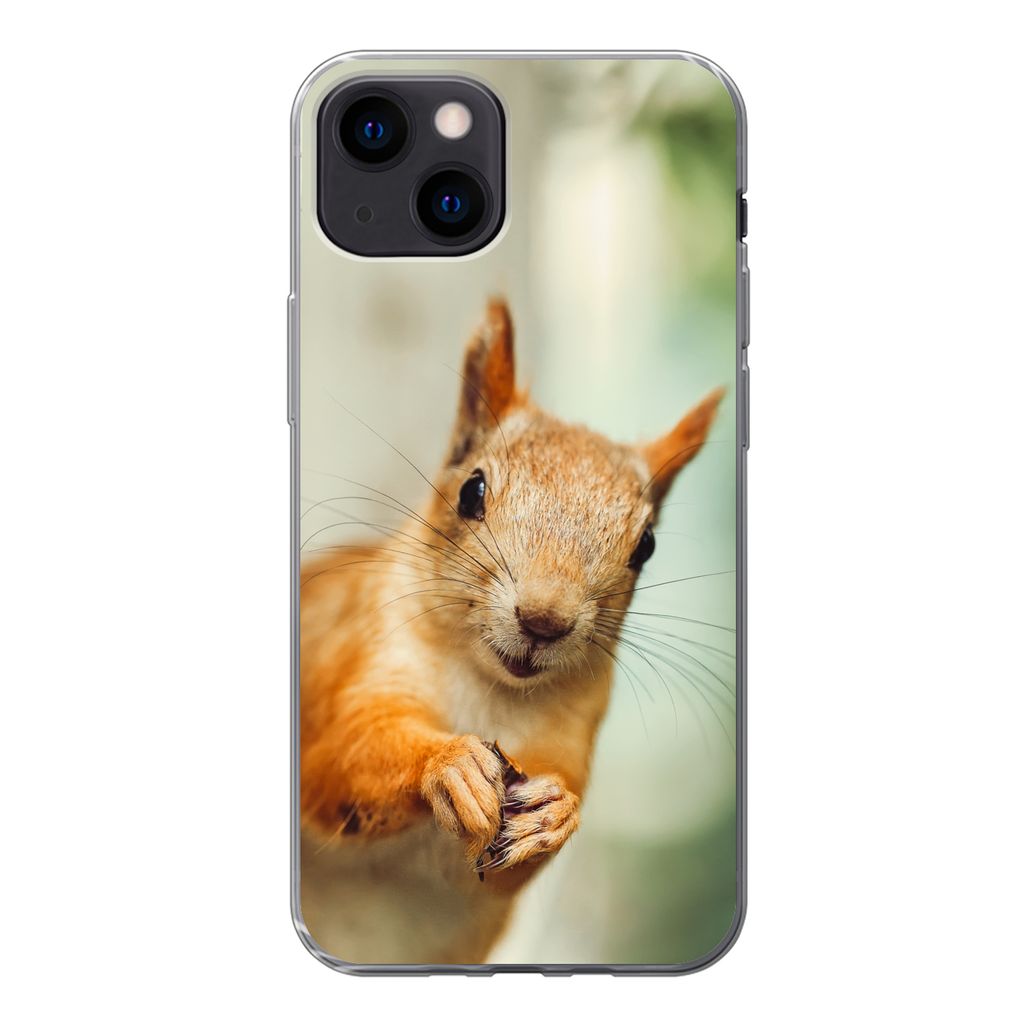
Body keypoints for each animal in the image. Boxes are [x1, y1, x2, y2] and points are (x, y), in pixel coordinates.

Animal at [298, 299, 723, 965]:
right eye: (472, 490)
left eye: (647, 546)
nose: (544, 621)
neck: (489, 689)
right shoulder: (358, 659)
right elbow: (338, 759)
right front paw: (448, 764)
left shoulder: (567, 739)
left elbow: (510, 869)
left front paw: (555, 814)